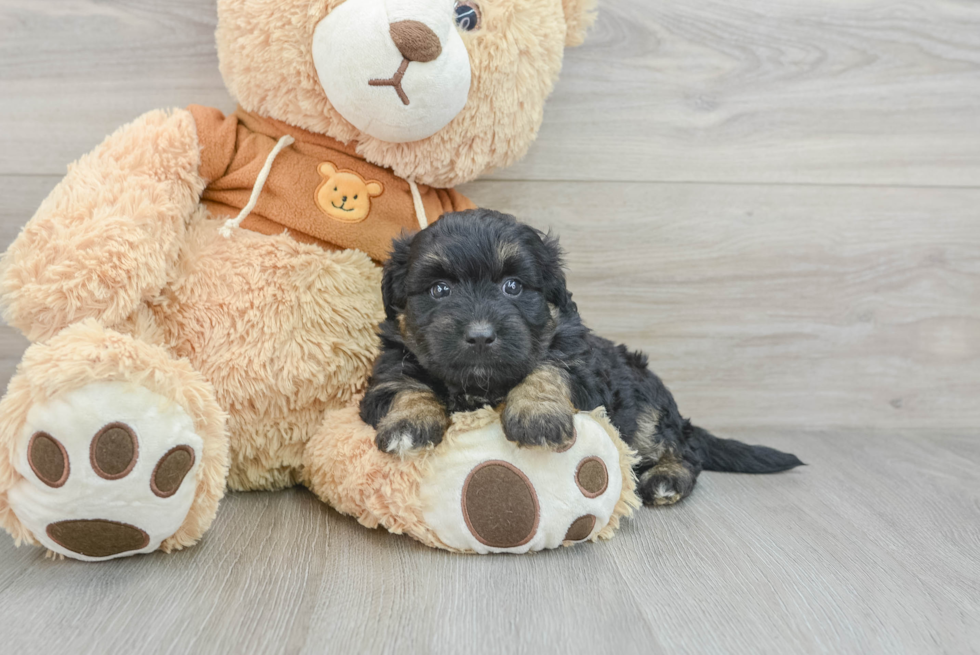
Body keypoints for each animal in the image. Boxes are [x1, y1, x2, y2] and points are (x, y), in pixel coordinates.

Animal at [362, 210, 804, 508]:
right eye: (439, 290)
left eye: (513, 287)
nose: (481, 335)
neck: (481, 385)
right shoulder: (388, 370)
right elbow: (407, 385)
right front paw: (409, 423)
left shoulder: (581, 366)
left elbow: (547, 368)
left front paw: (537, 416)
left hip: (648, 413)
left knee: (685, 451)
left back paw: (667, 480)